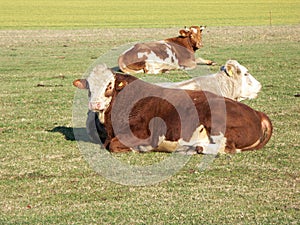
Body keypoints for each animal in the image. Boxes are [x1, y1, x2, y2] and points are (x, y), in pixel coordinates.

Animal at [72, 64, 272, 154]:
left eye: (109, 85)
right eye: (89, 86)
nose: (95, 104)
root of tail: (257, 113)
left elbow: (113, 145)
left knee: (227, 147)